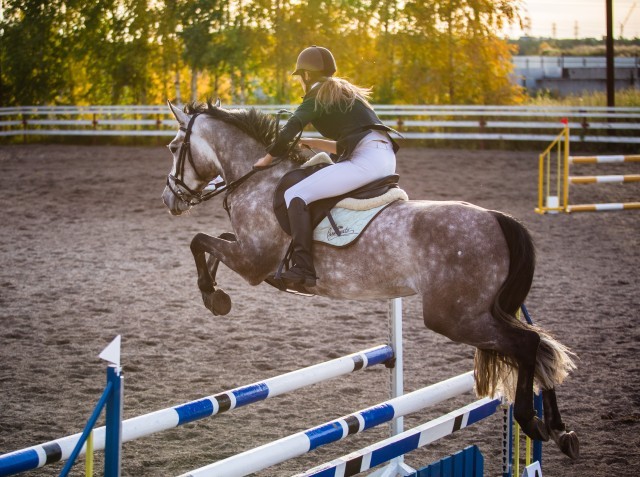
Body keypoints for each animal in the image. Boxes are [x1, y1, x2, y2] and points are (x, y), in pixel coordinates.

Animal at [161, 99, 580, 458]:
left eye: (174, 147)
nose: (169, 200)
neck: (258, 179)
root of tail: (498, 219)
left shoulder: (253, 262)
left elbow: (199, 241)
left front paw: (212, 295)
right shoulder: (249, 254)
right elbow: (213, 242)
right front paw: (216, 295)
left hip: (456, 317)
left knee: (528, 344)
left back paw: (532, 420)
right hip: (479, 312)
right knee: (541, 346)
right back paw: (561, 430)